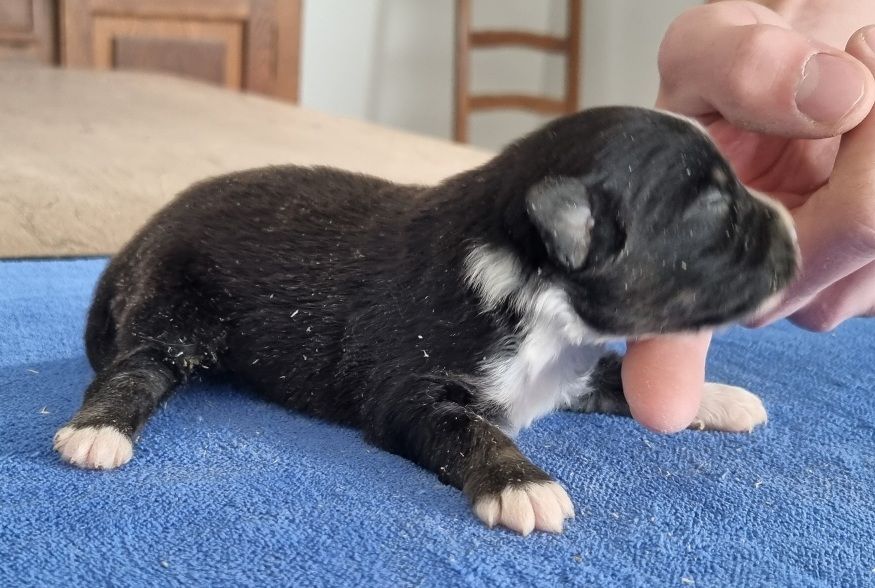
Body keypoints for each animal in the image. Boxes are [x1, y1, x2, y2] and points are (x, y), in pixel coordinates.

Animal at [54, 106, 797, 535]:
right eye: (713, 210)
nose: (792, 231)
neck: (523, 280)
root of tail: (141, 236)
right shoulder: (411, 391)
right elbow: (470, 431)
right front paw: (522, 485)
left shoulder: (569, 369)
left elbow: (613, 376)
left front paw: (717, 397)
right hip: (176, 306)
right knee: (136, 367)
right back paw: (97, 433)